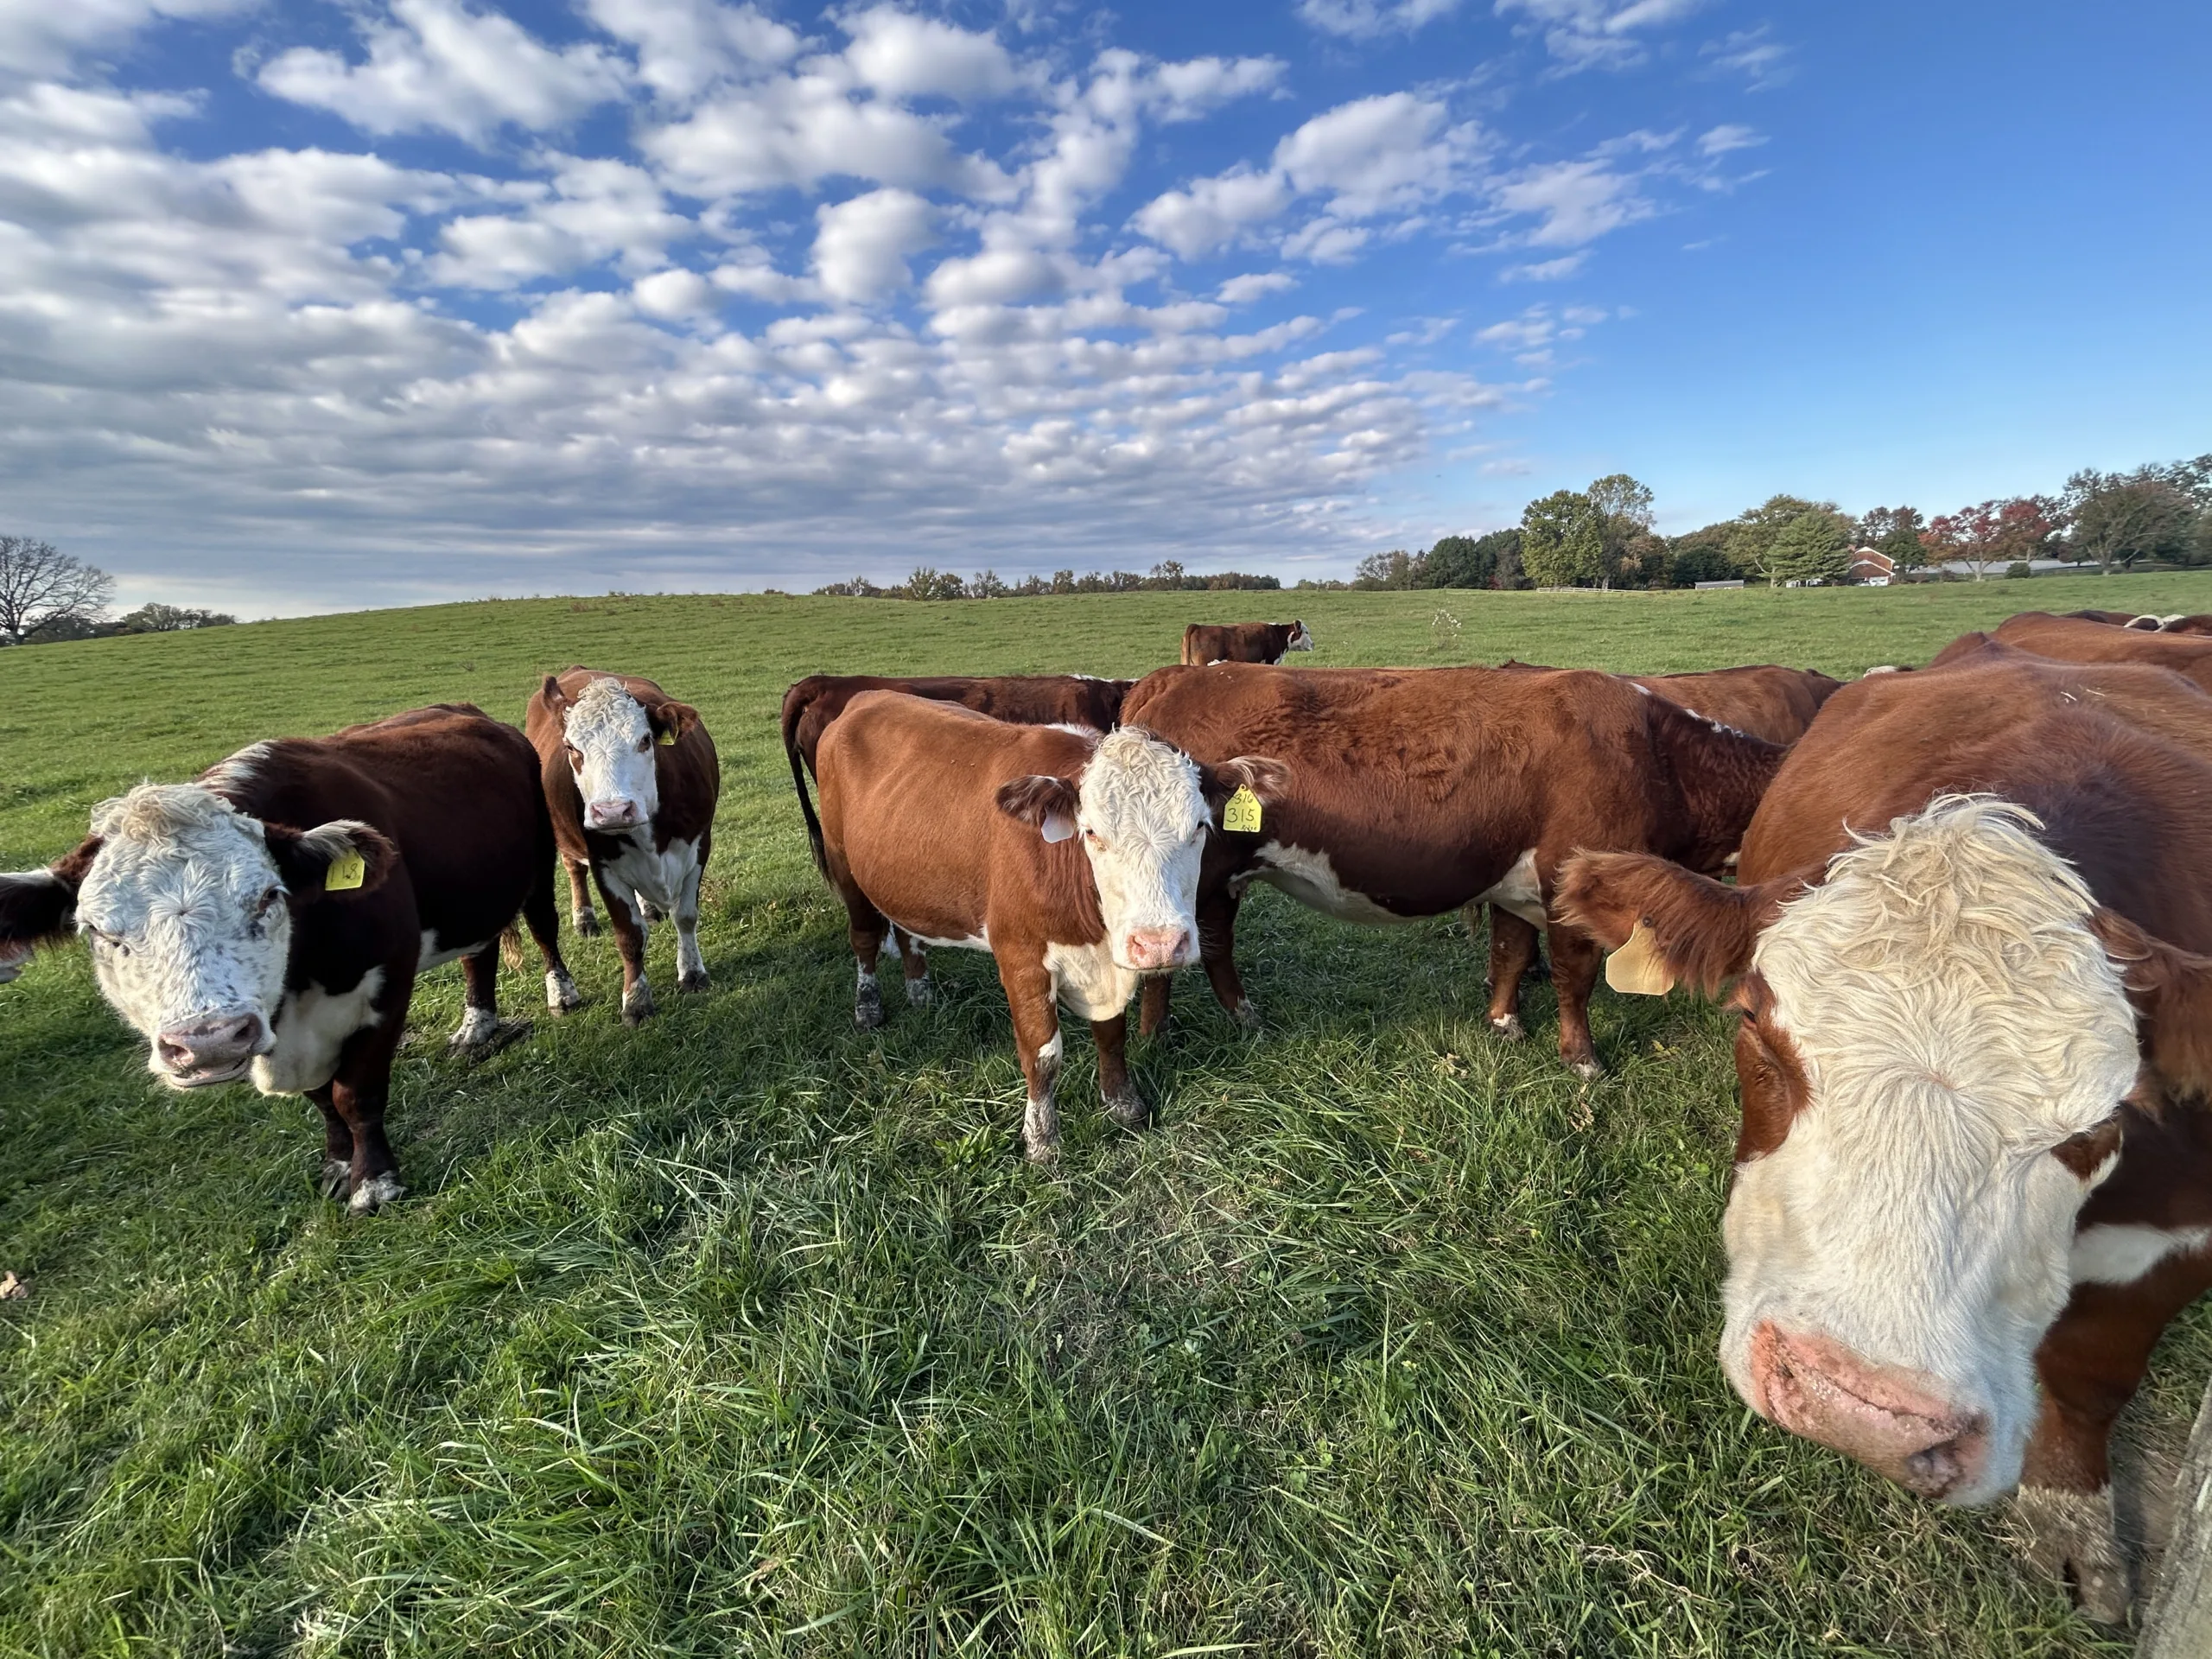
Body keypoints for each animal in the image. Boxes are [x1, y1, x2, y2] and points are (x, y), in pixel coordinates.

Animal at [0, 705, 574, 1213]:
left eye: (268, 897)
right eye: (96, 930)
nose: (208, 1040)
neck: (297, 987)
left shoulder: (389, 981)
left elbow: (355, 1093)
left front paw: (376, 1183)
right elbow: (322, 1098)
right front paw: (339, 1166)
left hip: (538, 867)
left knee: (544, 928)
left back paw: (560, 993)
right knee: (480, 952)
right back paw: (477, 1025)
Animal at [527, 669, 719, 1026]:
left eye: (644, 740)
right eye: (571, 747)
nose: (614, 811)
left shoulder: (699, 846)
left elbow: (686, 916)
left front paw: (692, 973)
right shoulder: (604, 866)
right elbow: (630, 936)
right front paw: (636, 1000)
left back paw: (649, 908)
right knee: (574, 871)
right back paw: (584, 920)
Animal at [812, 691, 1286, 1161]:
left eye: (1200, 827)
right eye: (1091, 832)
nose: (1159, 945)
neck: (1091, 930)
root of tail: (867, 696)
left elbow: (1112, 1033)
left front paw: (1122, 1103)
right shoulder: (1020, 955)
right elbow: (1042, 1052)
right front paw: (1042, 1139)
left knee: (908, 932)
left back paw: (920, 992)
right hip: (845, 865)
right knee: (864, 938)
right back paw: (868, 1005)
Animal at [1119, 663, 1786, 1076]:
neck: (1657, 755)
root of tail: (1182, 675)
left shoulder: (1516, 885)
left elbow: (1511, 954)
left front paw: (1505, 1023)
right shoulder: (1572, 883)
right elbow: (1574, 979)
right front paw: (1583, 1059)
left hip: (1220, 879)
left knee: (1217, 943)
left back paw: (1243, 1016)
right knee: (1167, 959)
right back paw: (1156, 1034)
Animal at [1554, 641, 2212, 1620]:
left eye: (2108, 1116)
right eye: (1753, 1023)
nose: (1859, 1412)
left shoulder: (2179, 1235)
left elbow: (2094, 1377)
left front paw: (2073, 1527)